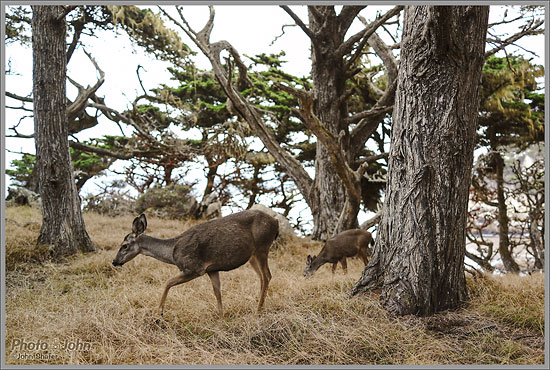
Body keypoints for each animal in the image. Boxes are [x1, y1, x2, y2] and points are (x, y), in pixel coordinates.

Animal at [111, 210, 278, 316]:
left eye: (124, 245)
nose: (114, 261)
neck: (172, 252)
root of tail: (276, 222)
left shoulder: (195, 268)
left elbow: (167, 282)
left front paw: (159, 314)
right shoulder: (212, 269)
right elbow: (217, 292)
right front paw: (221, 317)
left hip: (262, 247)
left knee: (267, 276)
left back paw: (258, 311)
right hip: (252, 256)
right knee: (262, 277)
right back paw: (259, 307)